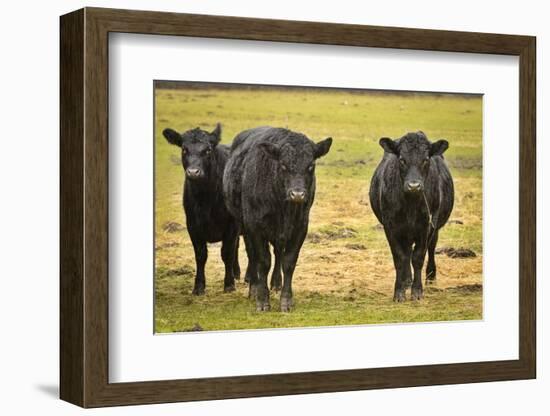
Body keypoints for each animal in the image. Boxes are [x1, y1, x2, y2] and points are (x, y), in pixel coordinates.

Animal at [164, 124, 242, 296]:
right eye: (184, 149)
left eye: (207, 150)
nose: (194, 172)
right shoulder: (193, 225)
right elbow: (201, 255)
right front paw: (199, 286)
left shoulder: (231, 225)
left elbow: (227, 252)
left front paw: (229, 284)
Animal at [223, 127, 332, 312]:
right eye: (283, 165)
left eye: (311, 165)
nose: (297, 194)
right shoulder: (255, 227)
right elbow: (263, 261)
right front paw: (262, 299)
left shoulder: (300, 227)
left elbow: (288, 262)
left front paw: (286, 300)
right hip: (245, 225)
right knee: (253, 256)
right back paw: (253, 288)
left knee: (278, 252)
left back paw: (276, 283)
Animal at [370, 132, 458, 302]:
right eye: (402, 159)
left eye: (426, 159)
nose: (414, 186)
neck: (410, 204)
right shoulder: (390, 227)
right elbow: (400, 257)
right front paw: (399, 291)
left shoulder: (426, 226)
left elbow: (418, 257)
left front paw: (417, 291)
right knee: (406, 253)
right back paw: (406, 280)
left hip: (434, 228)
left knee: (430, 248)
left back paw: (430, 277)